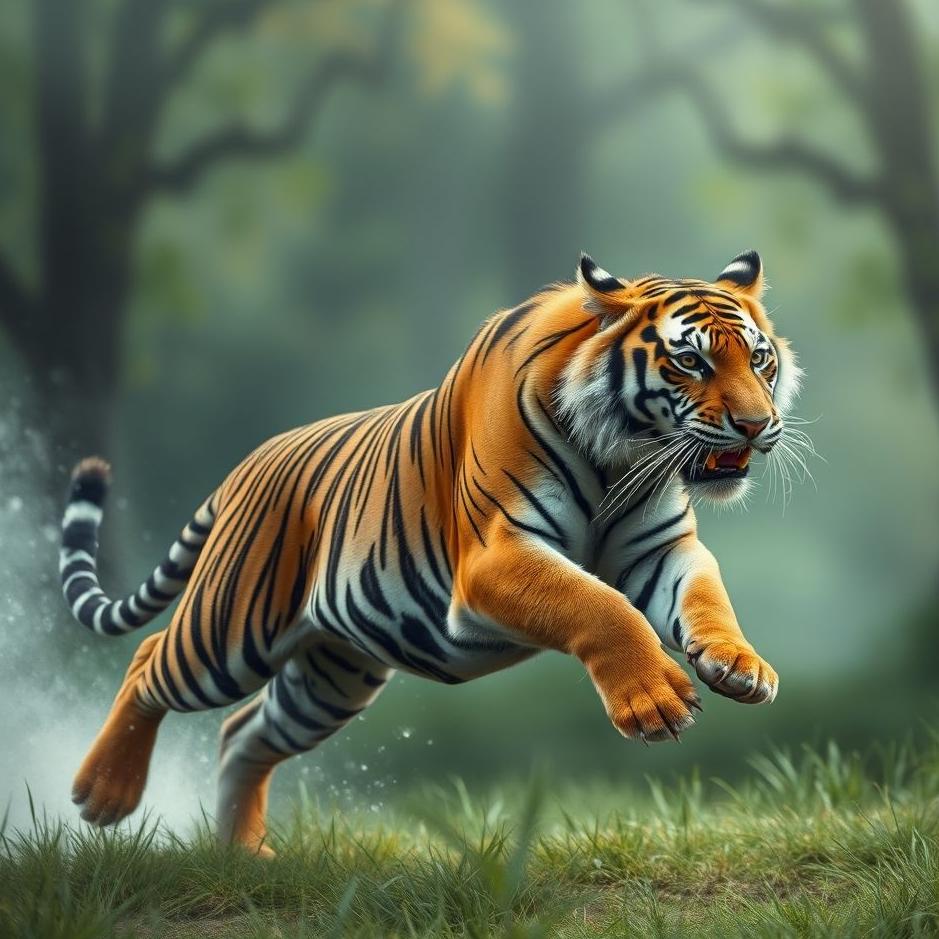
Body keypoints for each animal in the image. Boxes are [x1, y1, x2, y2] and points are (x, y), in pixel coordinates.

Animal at [60, 249, 799, 855]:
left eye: (759, 359)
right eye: (690, 360)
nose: (757, 425)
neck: (619, 455)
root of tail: (248, 464)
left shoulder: (661, 548)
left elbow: (705, 595)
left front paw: (740, 667)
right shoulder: (495, 556)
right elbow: (599, 604)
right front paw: (654, 702)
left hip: (329, 676)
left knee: (241, 733)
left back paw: (242, 856)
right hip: (231, 632)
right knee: (149, 660)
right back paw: (104, 791)